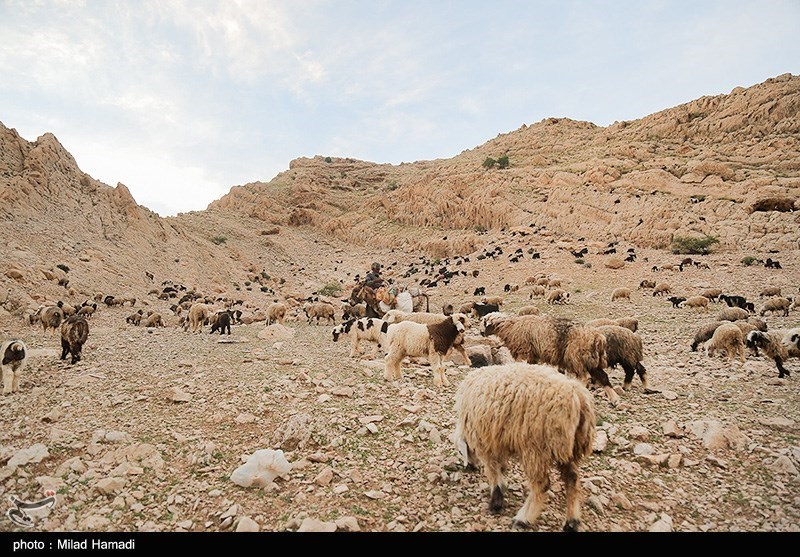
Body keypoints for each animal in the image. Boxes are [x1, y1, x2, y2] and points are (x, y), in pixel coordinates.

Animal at [454, 364, 596, 528]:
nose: (470, 467)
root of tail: (578, 396)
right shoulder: (498, 439)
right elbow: (500, 466)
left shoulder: (485, 442)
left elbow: (492, 470)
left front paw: (496, 501)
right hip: (567, 448)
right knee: (572, 479)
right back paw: (572, 521)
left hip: (536, 448)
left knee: (542, 484)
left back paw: (523, 518)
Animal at [478, 312, 616, 404]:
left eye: (485, 323)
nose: (481, 333)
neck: (510, 327)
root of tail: (599, 337)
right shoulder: (532, 355)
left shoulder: (523, 351)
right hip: (591, 360)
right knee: (603, 376)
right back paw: (614, 398)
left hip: (576, 357)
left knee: (584, 378)